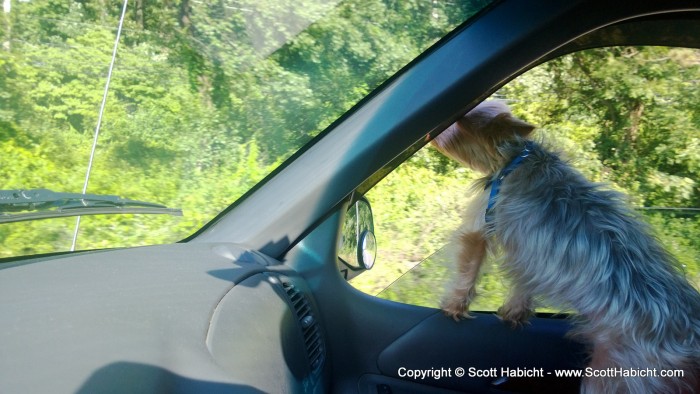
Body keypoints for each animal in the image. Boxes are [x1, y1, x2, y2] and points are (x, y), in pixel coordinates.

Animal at [432, 100, 700, 392]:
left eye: (459, 122)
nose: (435, 132)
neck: (514, 157)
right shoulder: (530, 254)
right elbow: (523, 282)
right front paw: (515, 312)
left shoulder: (482, 225)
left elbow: (468, 268)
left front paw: (454, 306)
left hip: (615, 372)